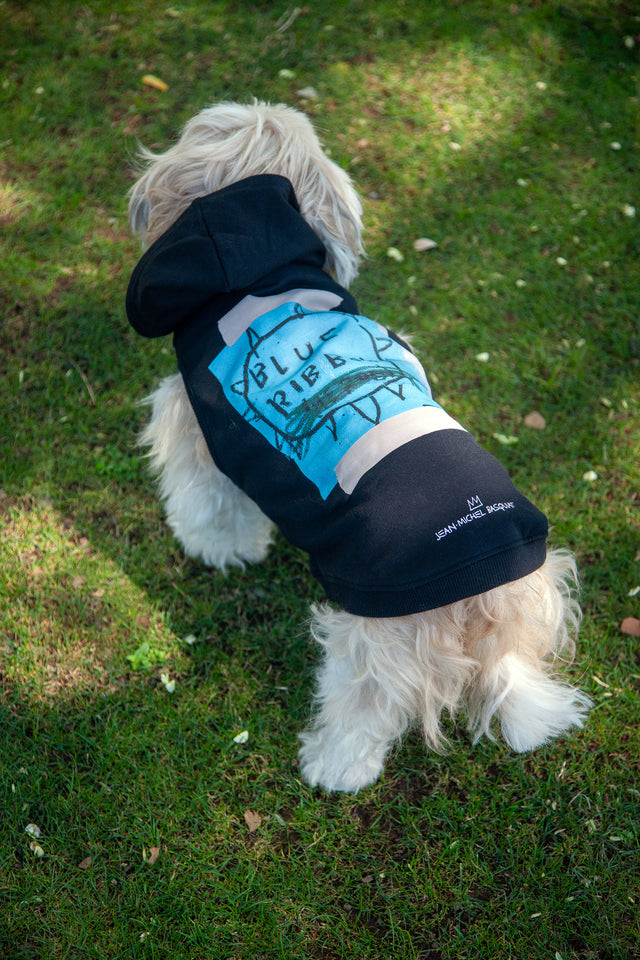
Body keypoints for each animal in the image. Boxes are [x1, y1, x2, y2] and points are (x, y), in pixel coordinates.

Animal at [125, 97, 592, 792]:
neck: (256, 263)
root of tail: (483, 583)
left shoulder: (197, 429)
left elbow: (209, 505)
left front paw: (221, 550)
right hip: (526, 610)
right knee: (514, 679)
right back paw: (533, 721)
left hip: (373, 641)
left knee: (367, 707)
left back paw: (334, 766)